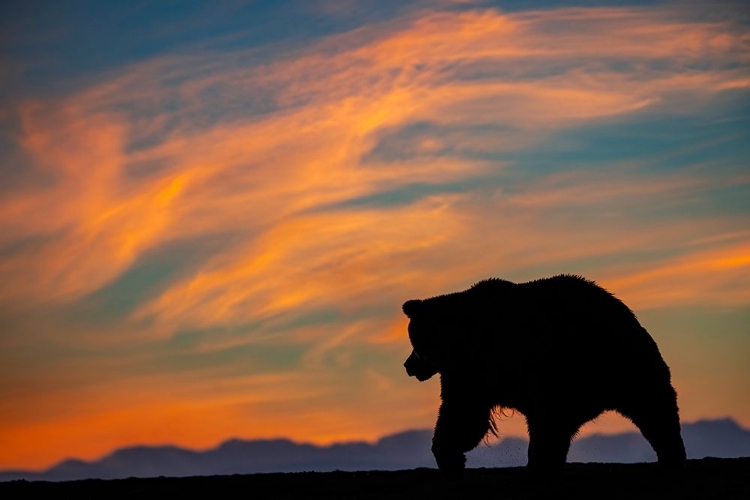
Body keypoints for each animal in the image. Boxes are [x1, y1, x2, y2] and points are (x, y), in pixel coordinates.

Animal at [406, 276, 688, 478]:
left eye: (413, 343)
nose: (408, 366)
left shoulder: (478, 366)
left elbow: (463, 414)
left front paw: (449, 457)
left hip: (597, 364)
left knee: (652, 404)